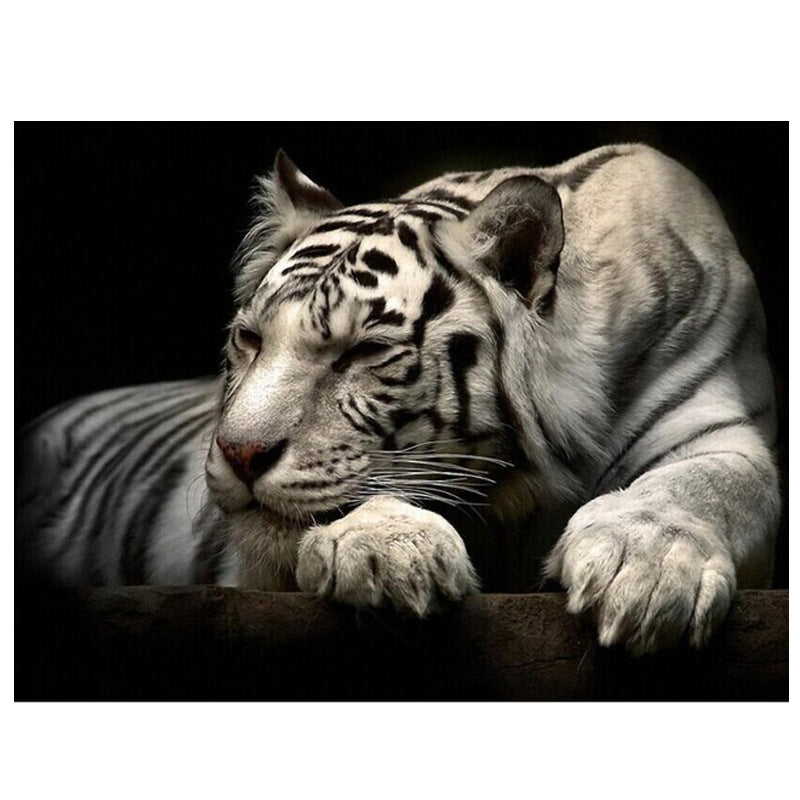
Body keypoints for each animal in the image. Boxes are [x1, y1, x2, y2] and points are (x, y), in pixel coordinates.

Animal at [16, 143, 780, 655]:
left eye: (361, 352)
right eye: (250, 339)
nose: (239, 453)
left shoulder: (719, 425)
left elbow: (704, 485)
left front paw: (645, 571)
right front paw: (386, 550)